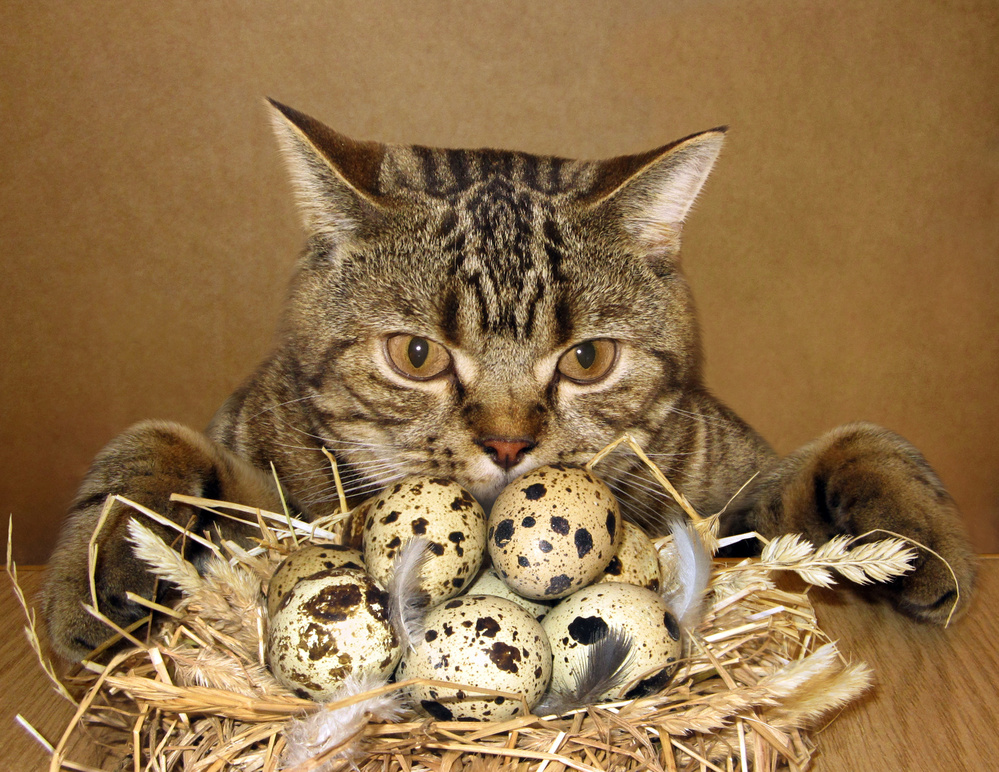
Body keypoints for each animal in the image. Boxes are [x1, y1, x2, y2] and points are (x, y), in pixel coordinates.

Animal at [42, 100, 975, 662]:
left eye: (587, 360)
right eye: (415, 356)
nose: (506, 443)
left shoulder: (725, 496)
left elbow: (860, 442)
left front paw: (920, 533)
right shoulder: (273, 496)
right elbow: (151, 442)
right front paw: (99, 567)